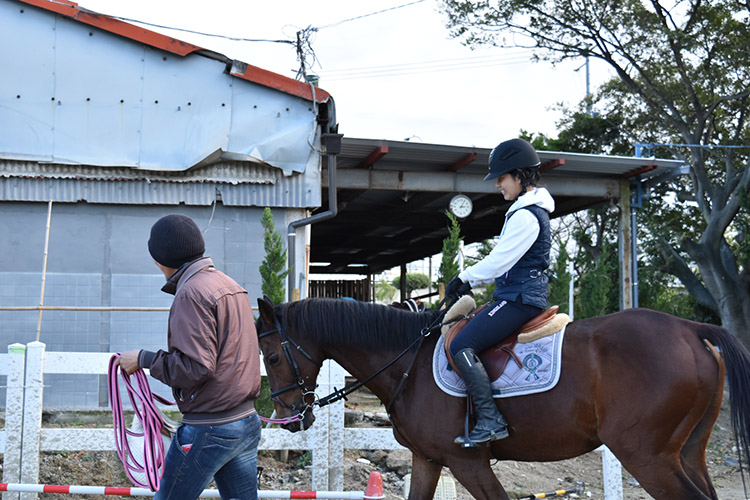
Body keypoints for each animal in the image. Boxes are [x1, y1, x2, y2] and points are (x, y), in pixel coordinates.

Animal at [258, 298, 750, 498]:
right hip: (685, 453)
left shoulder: (468, 462)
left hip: (646, 456)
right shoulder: (428, 459)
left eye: (272, 355)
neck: (408, 361)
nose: (290, 418)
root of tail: (690, 329)